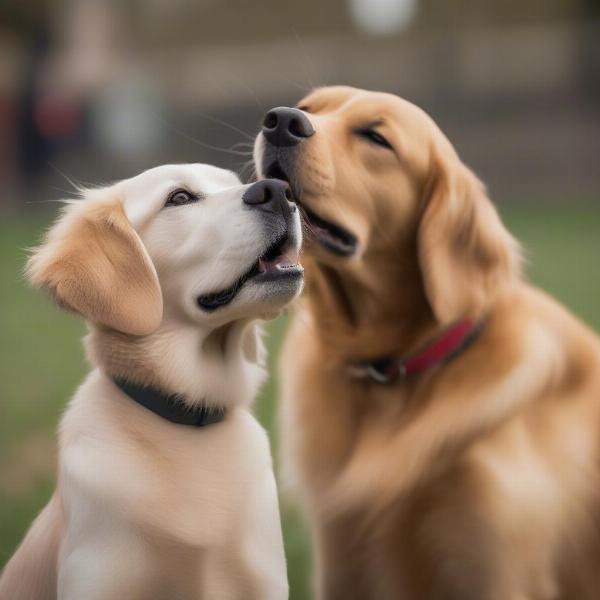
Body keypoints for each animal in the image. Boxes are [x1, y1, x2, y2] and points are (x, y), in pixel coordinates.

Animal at [254, 85, 600, 600]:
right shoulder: (342, 559)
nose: (280, 121)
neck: (393, 370)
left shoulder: (494, 567)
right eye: (310, 107)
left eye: (376, 137)